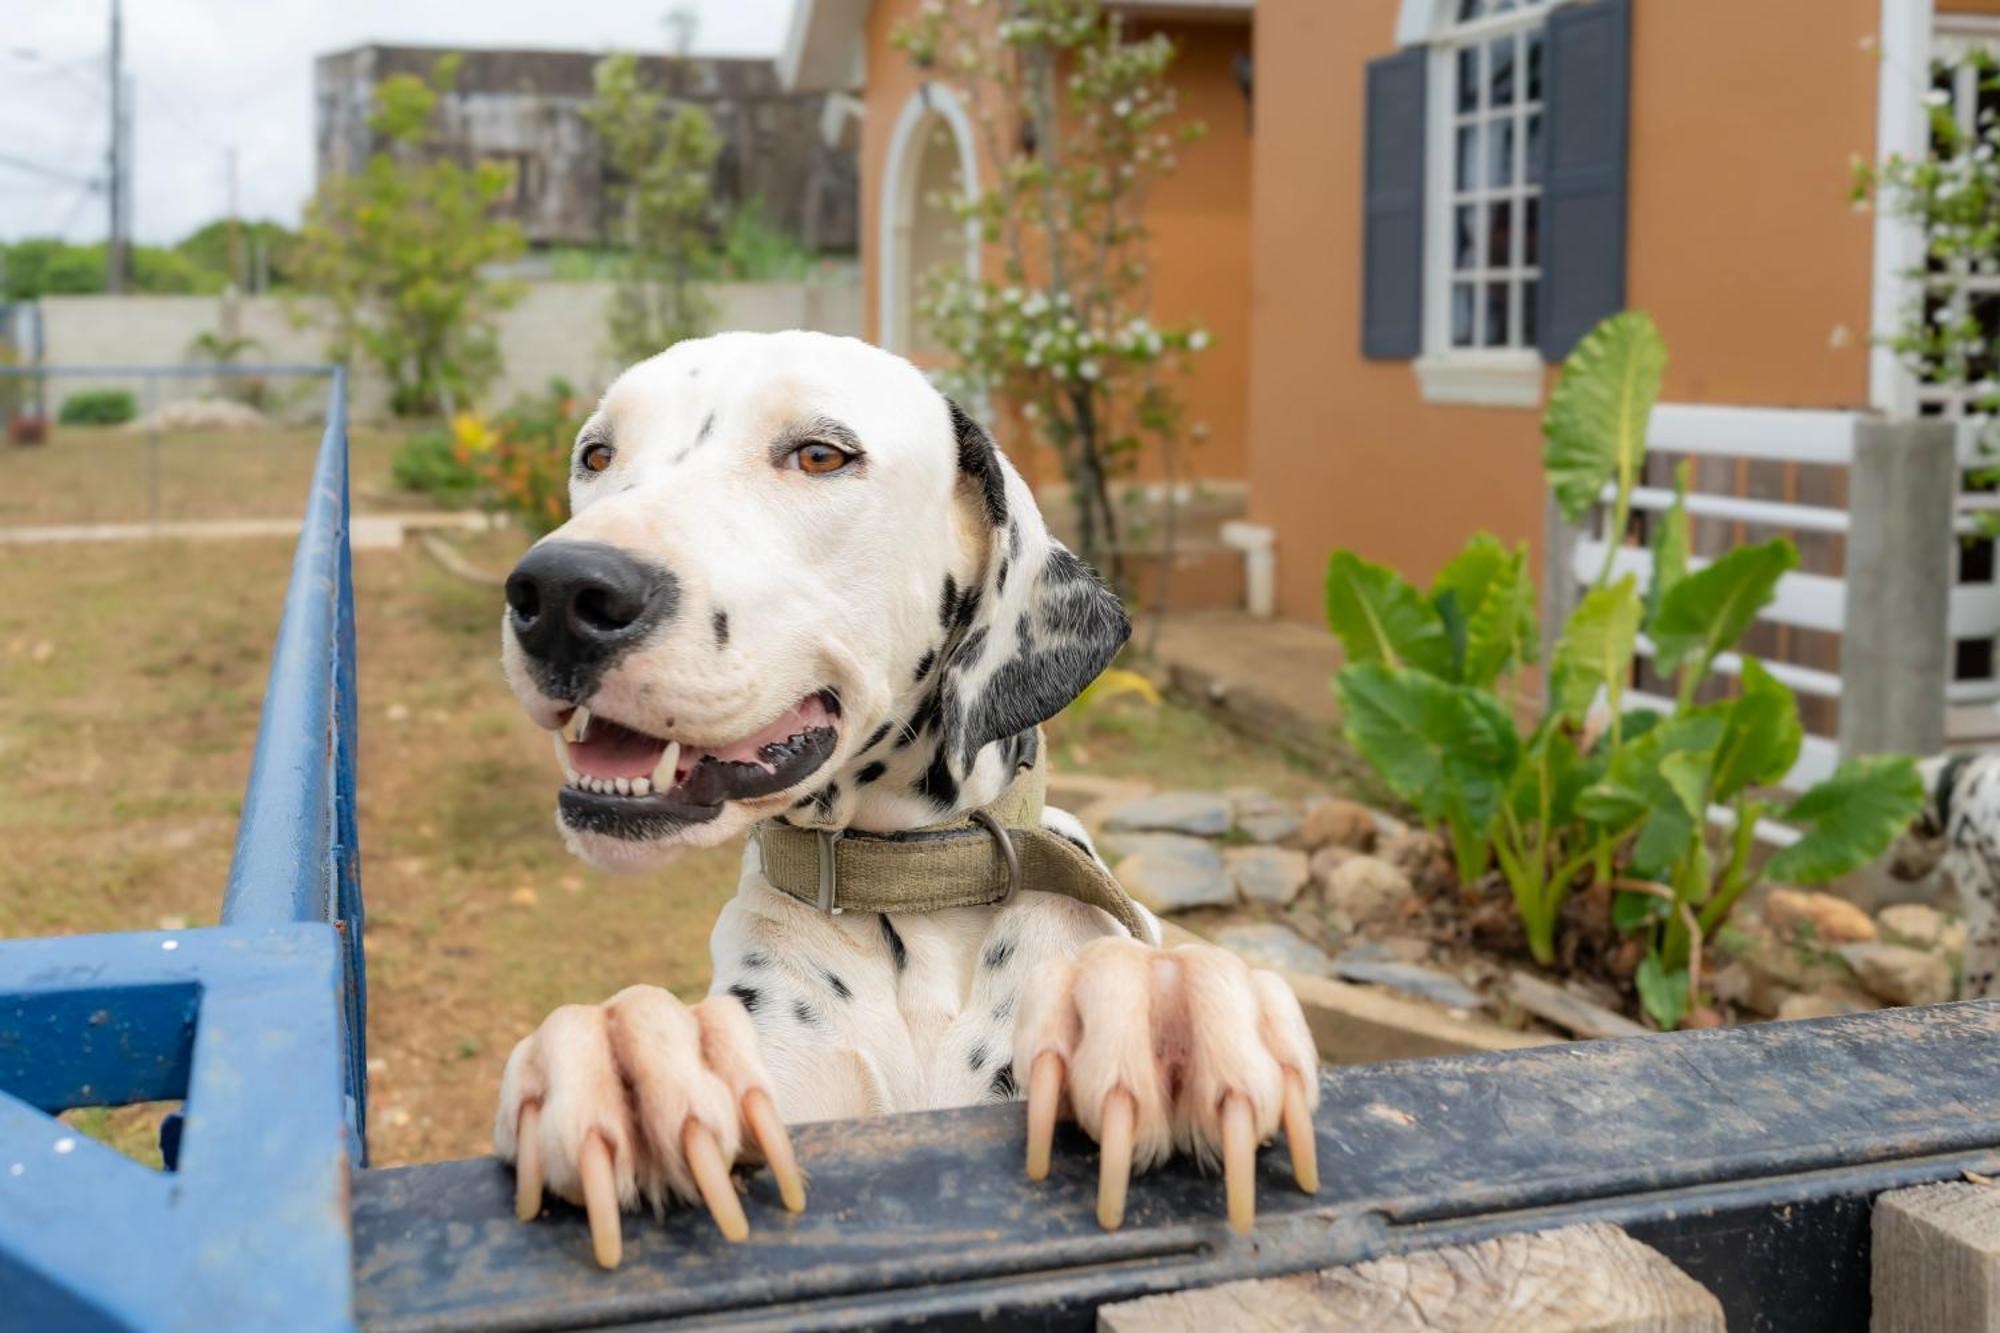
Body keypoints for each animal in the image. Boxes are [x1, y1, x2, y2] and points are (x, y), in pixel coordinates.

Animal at [492, 326, 1320, 1264]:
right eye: (596, 454)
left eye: (820, 454)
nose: (560, 590)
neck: (915, 896)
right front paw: (633, 1055)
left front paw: (1158, 1010)